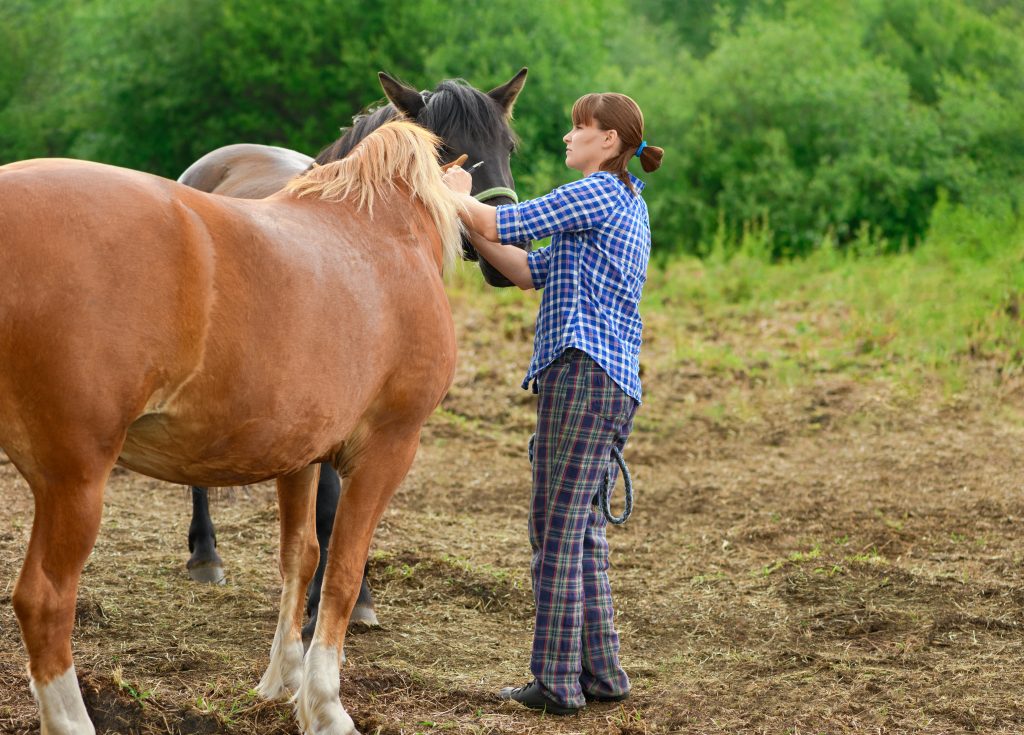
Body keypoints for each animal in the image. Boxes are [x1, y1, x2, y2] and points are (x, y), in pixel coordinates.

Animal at [0, 119, 460, 735]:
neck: (385, 231)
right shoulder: (388, 449)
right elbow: (341, 573)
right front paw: (325, 704)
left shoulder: (299, 455)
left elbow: (301, 557)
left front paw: (282, 681)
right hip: (73, 481)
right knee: (45, 601)